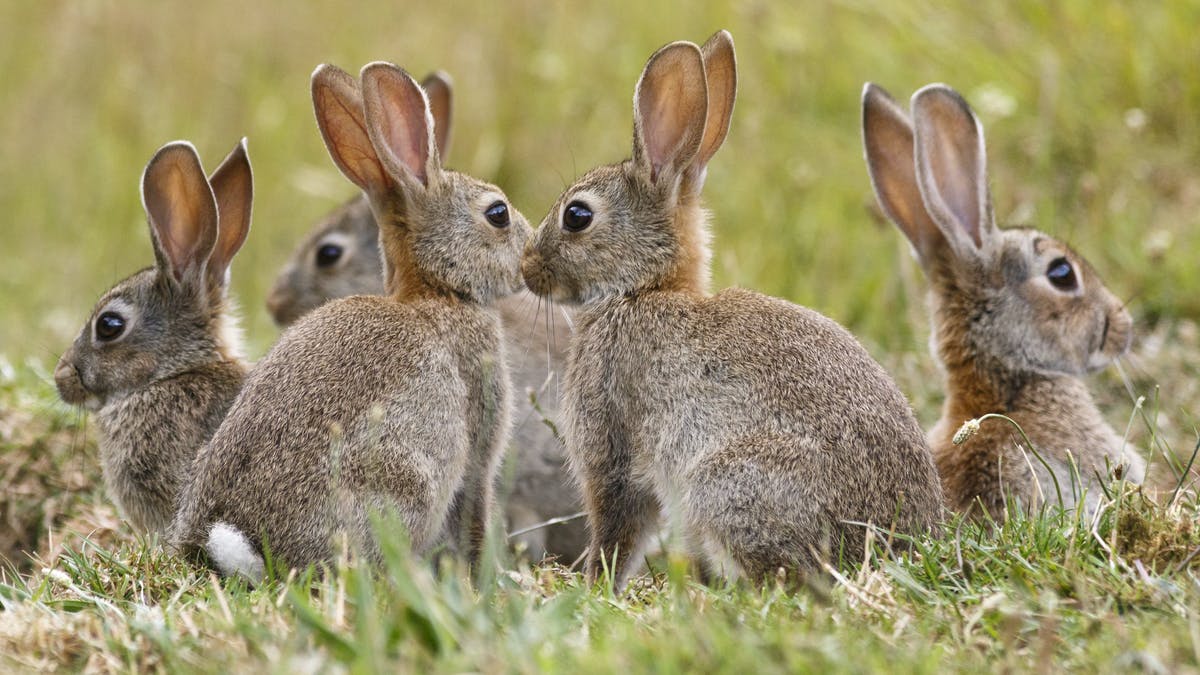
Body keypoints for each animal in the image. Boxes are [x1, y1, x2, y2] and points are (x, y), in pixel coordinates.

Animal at [169, 61, 532, 582]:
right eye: (497, 214)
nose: (530, 253)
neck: (438, 291)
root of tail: (239, 542)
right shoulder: (477, 449)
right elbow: (475, 516)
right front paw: (491, 581)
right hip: (403, 482)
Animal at [520, 30, 944, 588]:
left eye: (577, 216)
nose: (526, 268)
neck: (641, 289)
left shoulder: (611, 444)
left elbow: (618, 527)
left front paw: (595, 585)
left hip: (725, 483)